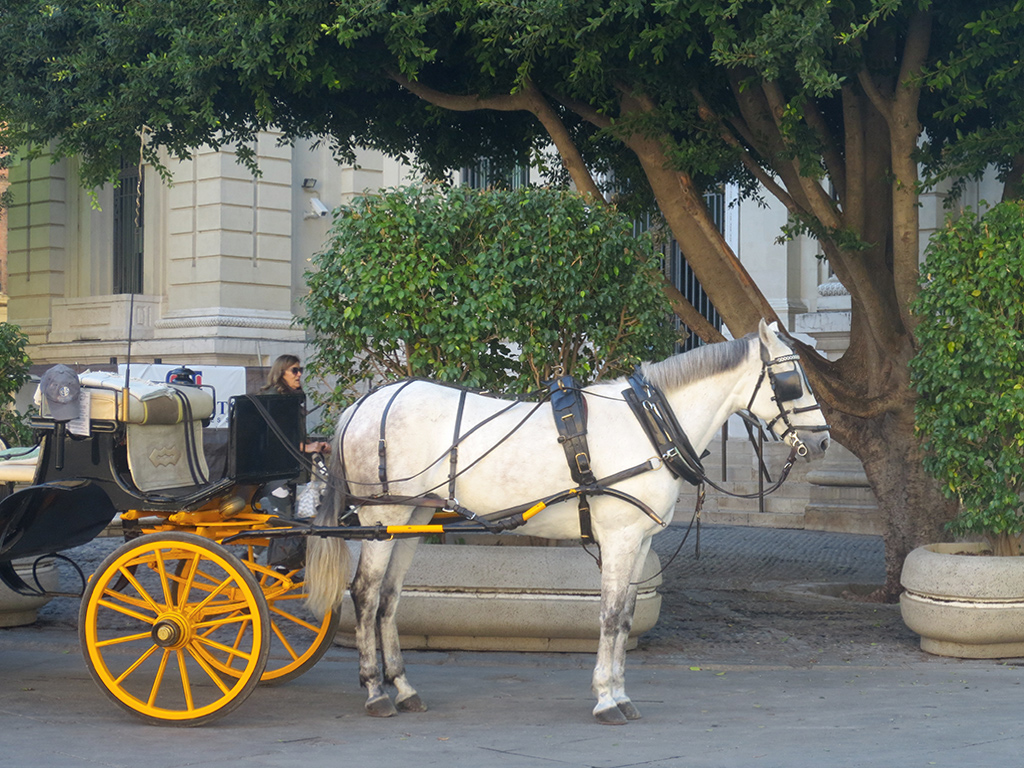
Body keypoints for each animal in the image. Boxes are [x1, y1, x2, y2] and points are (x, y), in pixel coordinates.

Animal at [305, 319, 831, 729]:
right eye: (791, 379)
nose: (824, 441)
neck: (650, 424)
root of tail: (362, 405)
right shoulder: (619, 537)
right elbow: (609, 615)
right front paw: (605, 699)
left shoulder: (639, 541)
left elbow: (625, 617)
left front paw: (620, 693)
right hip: (383, 516)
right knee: (366, 593)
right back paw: (375, 691)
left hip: (413, 517)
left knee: (390, 598)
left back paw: (403, 687)